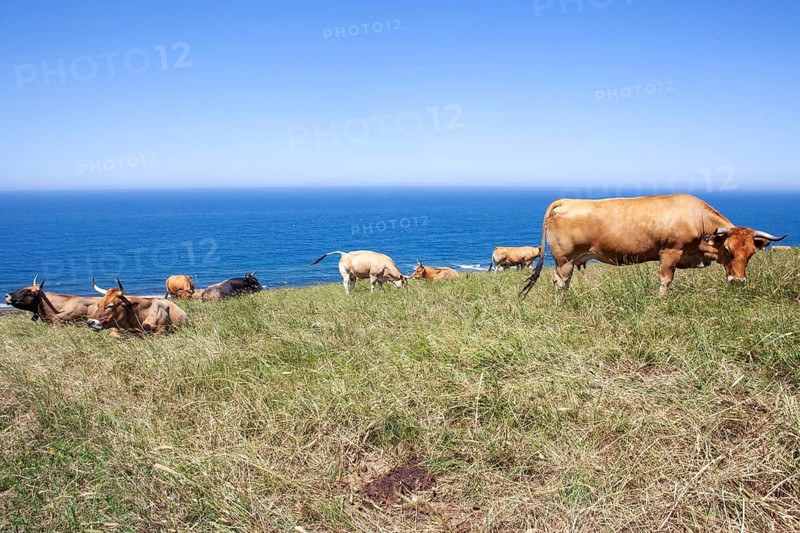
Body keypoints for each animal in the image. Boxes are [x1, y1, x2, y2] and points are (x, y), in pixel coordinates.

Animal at [520, 194, 786, 297]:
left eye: (750, 254)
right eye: (728, 250)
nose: (739, 281)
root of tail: (567, 201)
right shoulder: (670, 252)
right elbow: (665, 279)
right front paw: (661, 300)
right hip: (564, 259)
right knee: (560, 282)